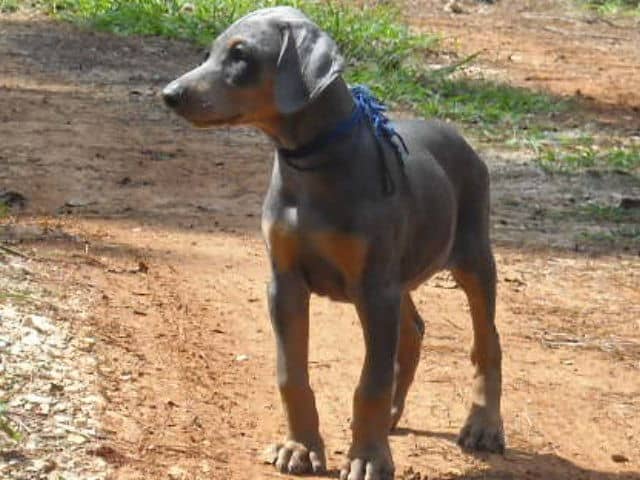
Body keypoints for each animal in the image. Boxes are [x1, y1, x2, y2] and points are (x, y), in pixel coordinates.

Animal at [162, 6, 502, 480]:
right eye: (207, 53)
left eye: (241, 55)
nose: (169, 95)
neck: (311, 166)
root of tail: (457, 136)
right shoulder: (285, 282)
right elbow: (292, 375)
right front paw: (300, 447)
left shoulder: (374, 290)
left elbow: (370, 383)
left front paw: (368, 457)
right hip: (398, 275)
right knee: (413, 330)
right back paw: (394, 414)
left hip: (471, 257)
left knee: (487, 343)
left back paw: (484, 426)